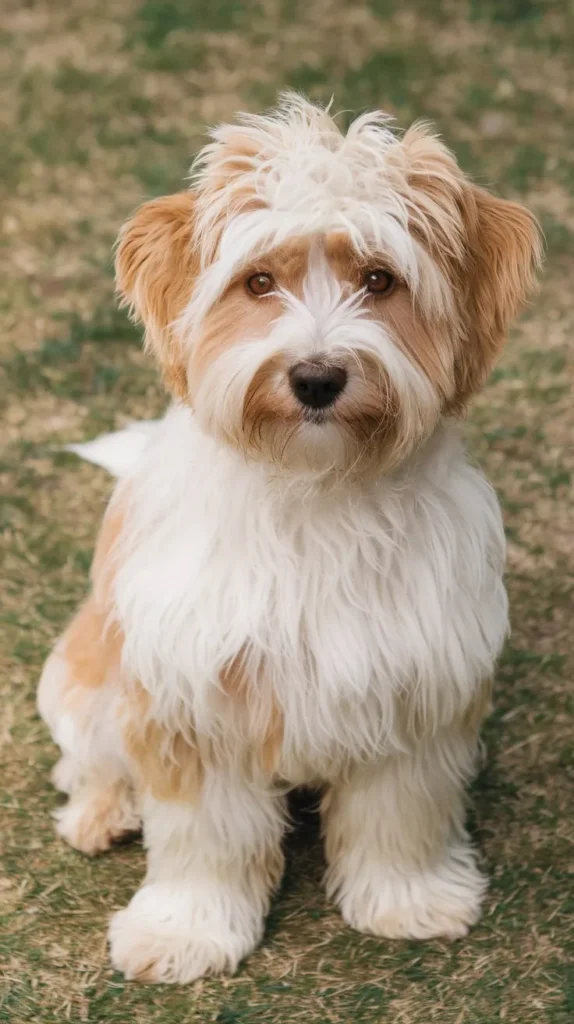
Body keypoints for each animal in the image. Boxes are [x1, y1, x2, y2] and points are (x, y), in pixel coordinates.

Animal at [36, 96, 540, 983]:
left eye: (380, 279)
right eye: (258, 281)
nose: (317, 377)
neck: (315, 492)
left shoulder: (418, 684)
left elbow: (400, 813)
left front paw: (409, 901)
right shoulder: (191, 697)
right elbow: (202, 838)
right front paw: (183, 932)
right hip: (86, 679)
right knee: (86, 757)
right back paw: (101, 812)